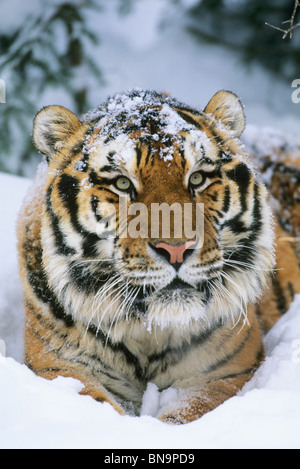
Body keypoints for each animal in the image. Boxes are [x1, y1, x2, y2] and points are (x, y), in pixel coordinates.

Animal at [17, 87, 298, 420]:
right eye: (122, 183)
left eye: (197, 178)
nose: (176, 250)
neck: (148, 331)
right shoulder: (61, 368)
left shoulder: (225, 374)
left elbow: (187, 415)